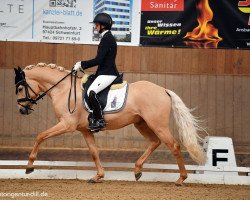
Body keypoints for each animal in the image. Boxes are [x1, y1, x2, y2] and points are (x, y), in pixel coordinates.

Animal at [13, 63, 206, 185]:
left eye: (21, 88)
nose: (22, 110)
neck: (63, 89)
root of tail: (163, 90)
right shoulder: (85, 130)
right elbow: (94, 152)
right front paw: (98, 176)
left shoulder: (67, 125)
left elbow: (40, 136)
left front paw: (29, 166)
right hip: (141, 124)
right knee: (154, 142)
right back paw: (137, 170)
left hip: (157, 124)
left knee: (173, 146)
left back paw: (181, 179)